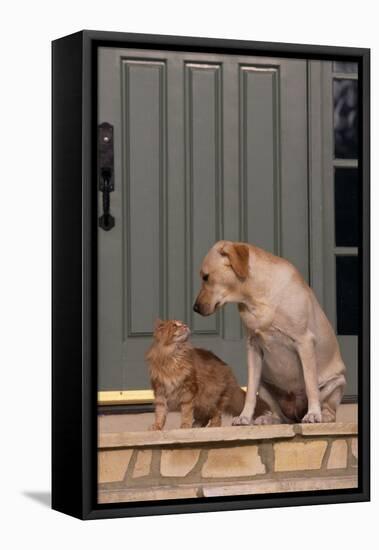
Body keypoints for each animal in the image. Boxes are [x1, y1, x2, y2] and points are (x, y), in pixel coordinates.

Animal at [196, 242, 348, 426]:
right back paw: (268, 418)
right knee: (282, 417)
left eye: (206, 277)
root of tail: (296, 414)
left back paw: (322, 415)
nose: (195, 308)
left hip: (336, 383)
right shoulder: (253, 348)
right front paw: (245, 417)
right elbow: (250, 392)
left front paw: (313, 414)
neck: (256, 297)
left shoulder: (304, 342)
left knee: (330, 410)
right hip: (265, 386)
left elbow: (310, 385)